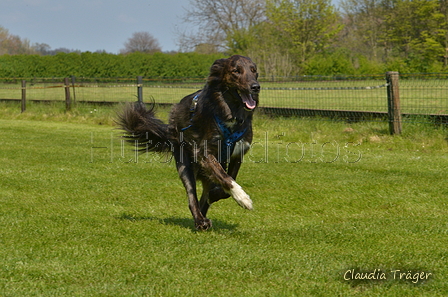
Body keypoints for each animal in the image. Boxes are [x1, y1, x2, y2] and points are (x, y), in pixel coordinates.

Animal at [117, 56, 260, 231]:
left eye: (254, 70)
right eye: (236, 71)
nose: (256, 87)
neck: (231, 113)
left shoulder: (237, 154)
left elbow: (226, 183)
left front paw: (218, 194)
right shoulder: (204, 153)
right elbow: (226, 179)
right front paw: (243, 199)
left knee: (204, 195)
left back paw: (203, 217)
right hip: (185, 165)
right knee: (192, 197)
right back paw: (199, 220)